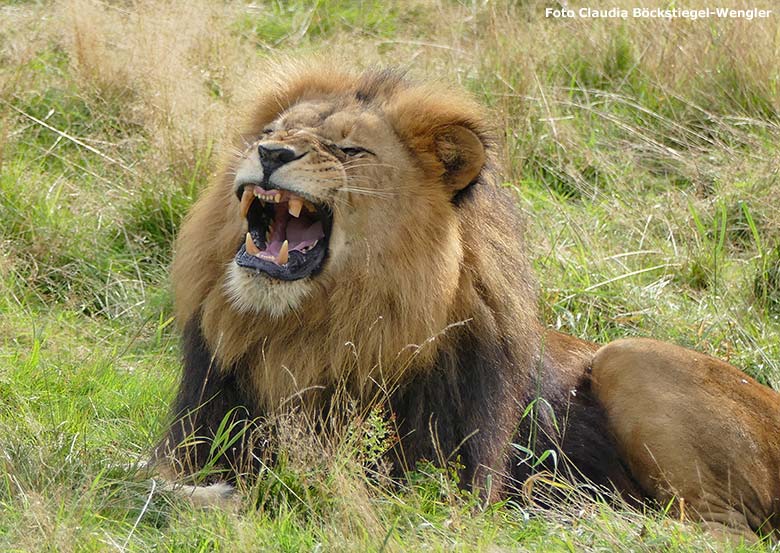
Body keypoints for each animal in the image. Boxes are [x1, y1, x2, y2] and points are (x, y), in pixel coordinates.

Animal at [152, 61, 780, 540]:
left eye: (349, 150)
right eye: (274, 129)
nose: (270, 152)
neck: (308, 337)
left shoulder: (428, 489)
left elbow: (293, 488)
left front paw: (223, 498)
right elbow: (160, 474)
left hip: (630, 355)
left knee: (721, 530)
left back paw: (583, 515)